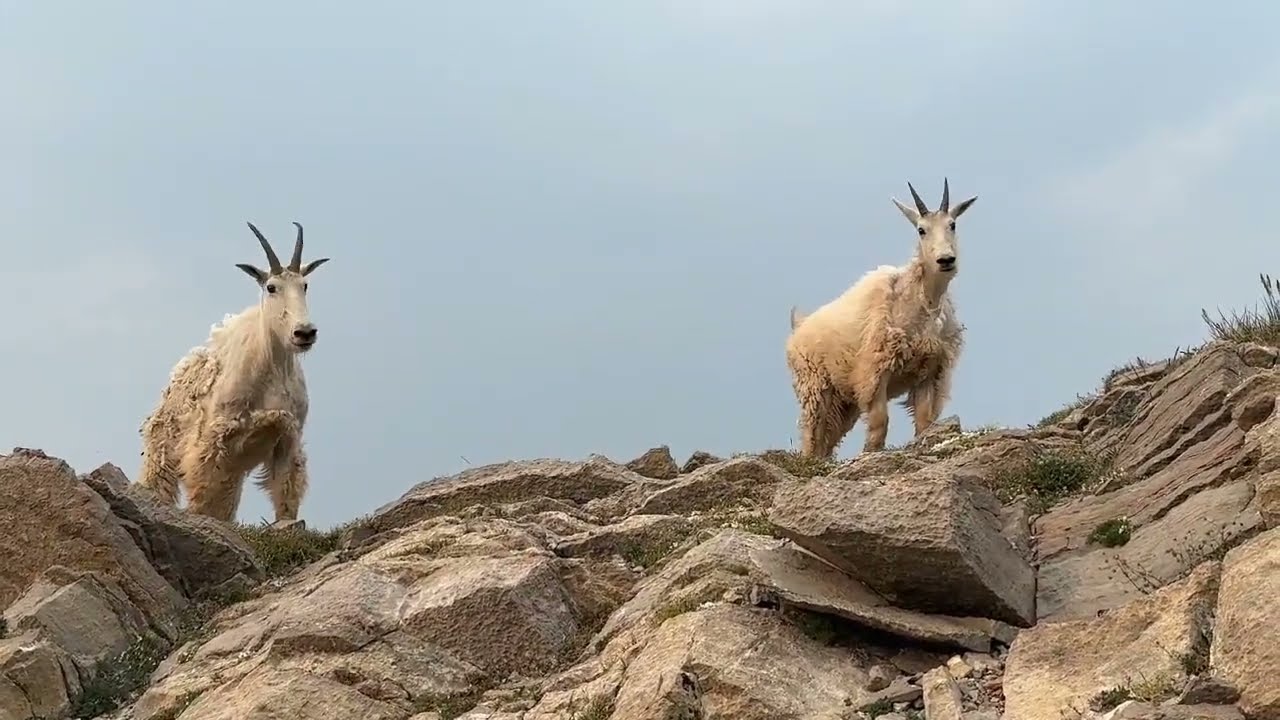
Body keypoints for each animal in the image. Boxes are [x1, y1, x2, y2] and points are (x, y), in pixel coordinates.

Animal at [136, 221, 331, 525]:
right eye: (271, 287)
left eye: (305, 285)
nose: (304, 333)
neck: (273, 367)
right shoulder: (214, 441)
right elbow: (205, 496)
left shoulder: (287, 437)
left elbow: (286, 495)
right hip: (162, 450)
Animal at [785, 179, 976, 459]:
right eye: (921, 229)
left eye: (952, 224)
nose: (946, 260)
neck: (923, 300)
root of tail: (798, 327)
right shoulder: (874, 371)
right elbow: (879, 423)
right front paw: (871, 453)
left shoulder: (928, 371)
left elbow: (924, 422)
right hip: (815, 385)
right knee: (812, 435)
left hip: (843, 401)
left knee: (828, 438)